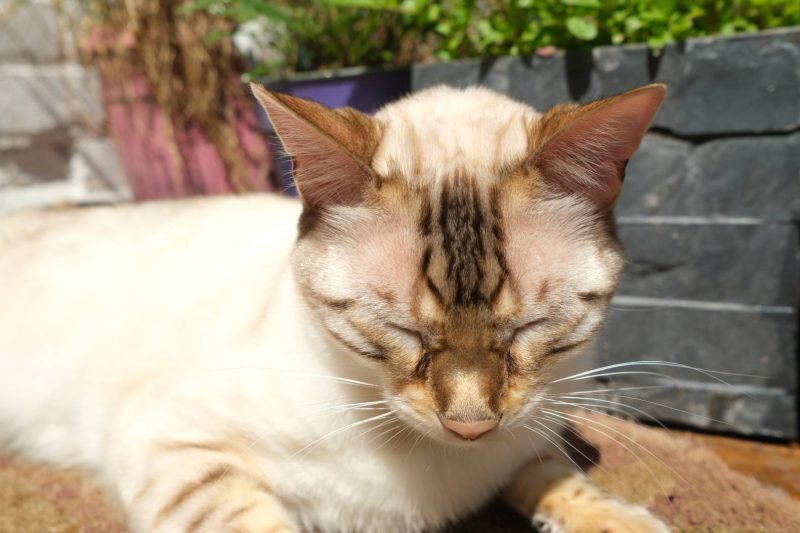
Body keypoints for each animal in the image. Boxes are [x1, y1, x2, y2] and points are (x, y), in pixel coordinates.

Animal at [0, 80, 668, 532]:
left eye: (527, 329)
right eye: (403, 332)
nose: (470, 427)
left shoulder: (530, 432)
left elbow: (557, 473)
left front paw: (624, 521)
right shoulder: (171, 441)